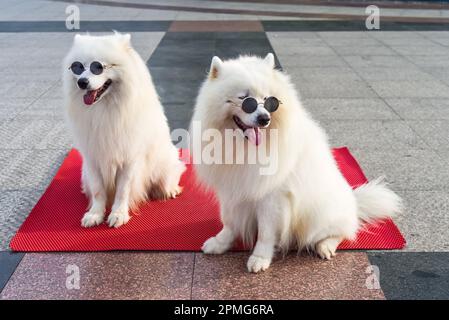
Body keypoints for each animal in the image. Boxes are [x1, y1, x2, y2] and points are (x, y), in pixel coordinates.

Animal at [62, 32, 185, 228]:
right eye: (77, 67)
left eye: (98, 67)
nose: (82, 82)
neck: (104, 110)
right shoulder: (92, 157)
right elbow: (97, 189)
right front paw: (95, 214)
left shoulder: (129, 158)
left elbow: (123, 189)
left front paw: (118, 214)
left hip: (164, 163)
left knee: (172, 175)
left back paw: (168, 190)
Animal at [189, 54, 402, 272]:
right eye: (244, 99)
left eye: (269, 101)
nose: (264, 118)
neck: (243, 148)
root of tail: (353, 202)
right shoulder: (231, 190)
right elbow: (229, 222)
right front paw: (220, 243)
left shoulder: (272, 197)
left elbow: (265, 233)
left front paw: (259, 258)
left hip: (318, 217)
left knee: (343, 232)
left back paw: (325, 246)